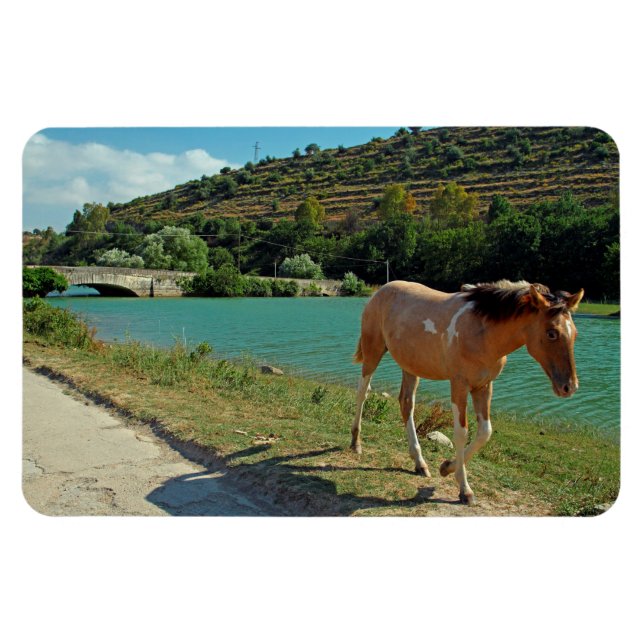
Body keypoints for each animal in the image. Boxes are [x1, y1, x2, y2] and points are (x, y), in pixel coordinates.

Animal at [351, 279, 584, 505]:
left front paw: (446, 467)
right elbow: (461, 433)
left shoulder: (484, 386)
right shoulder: (459, 385)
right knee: (362, 392)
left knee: (406, 404)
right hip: (373, 352)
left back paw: (420, 463)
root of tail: (379, 291)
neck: (483, 332)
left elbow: (484, 432)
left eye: (575, 334)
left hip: (410, 366)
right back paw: (356, 443)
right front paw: (465, 490)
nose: (569, 387)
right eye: (551, 333)